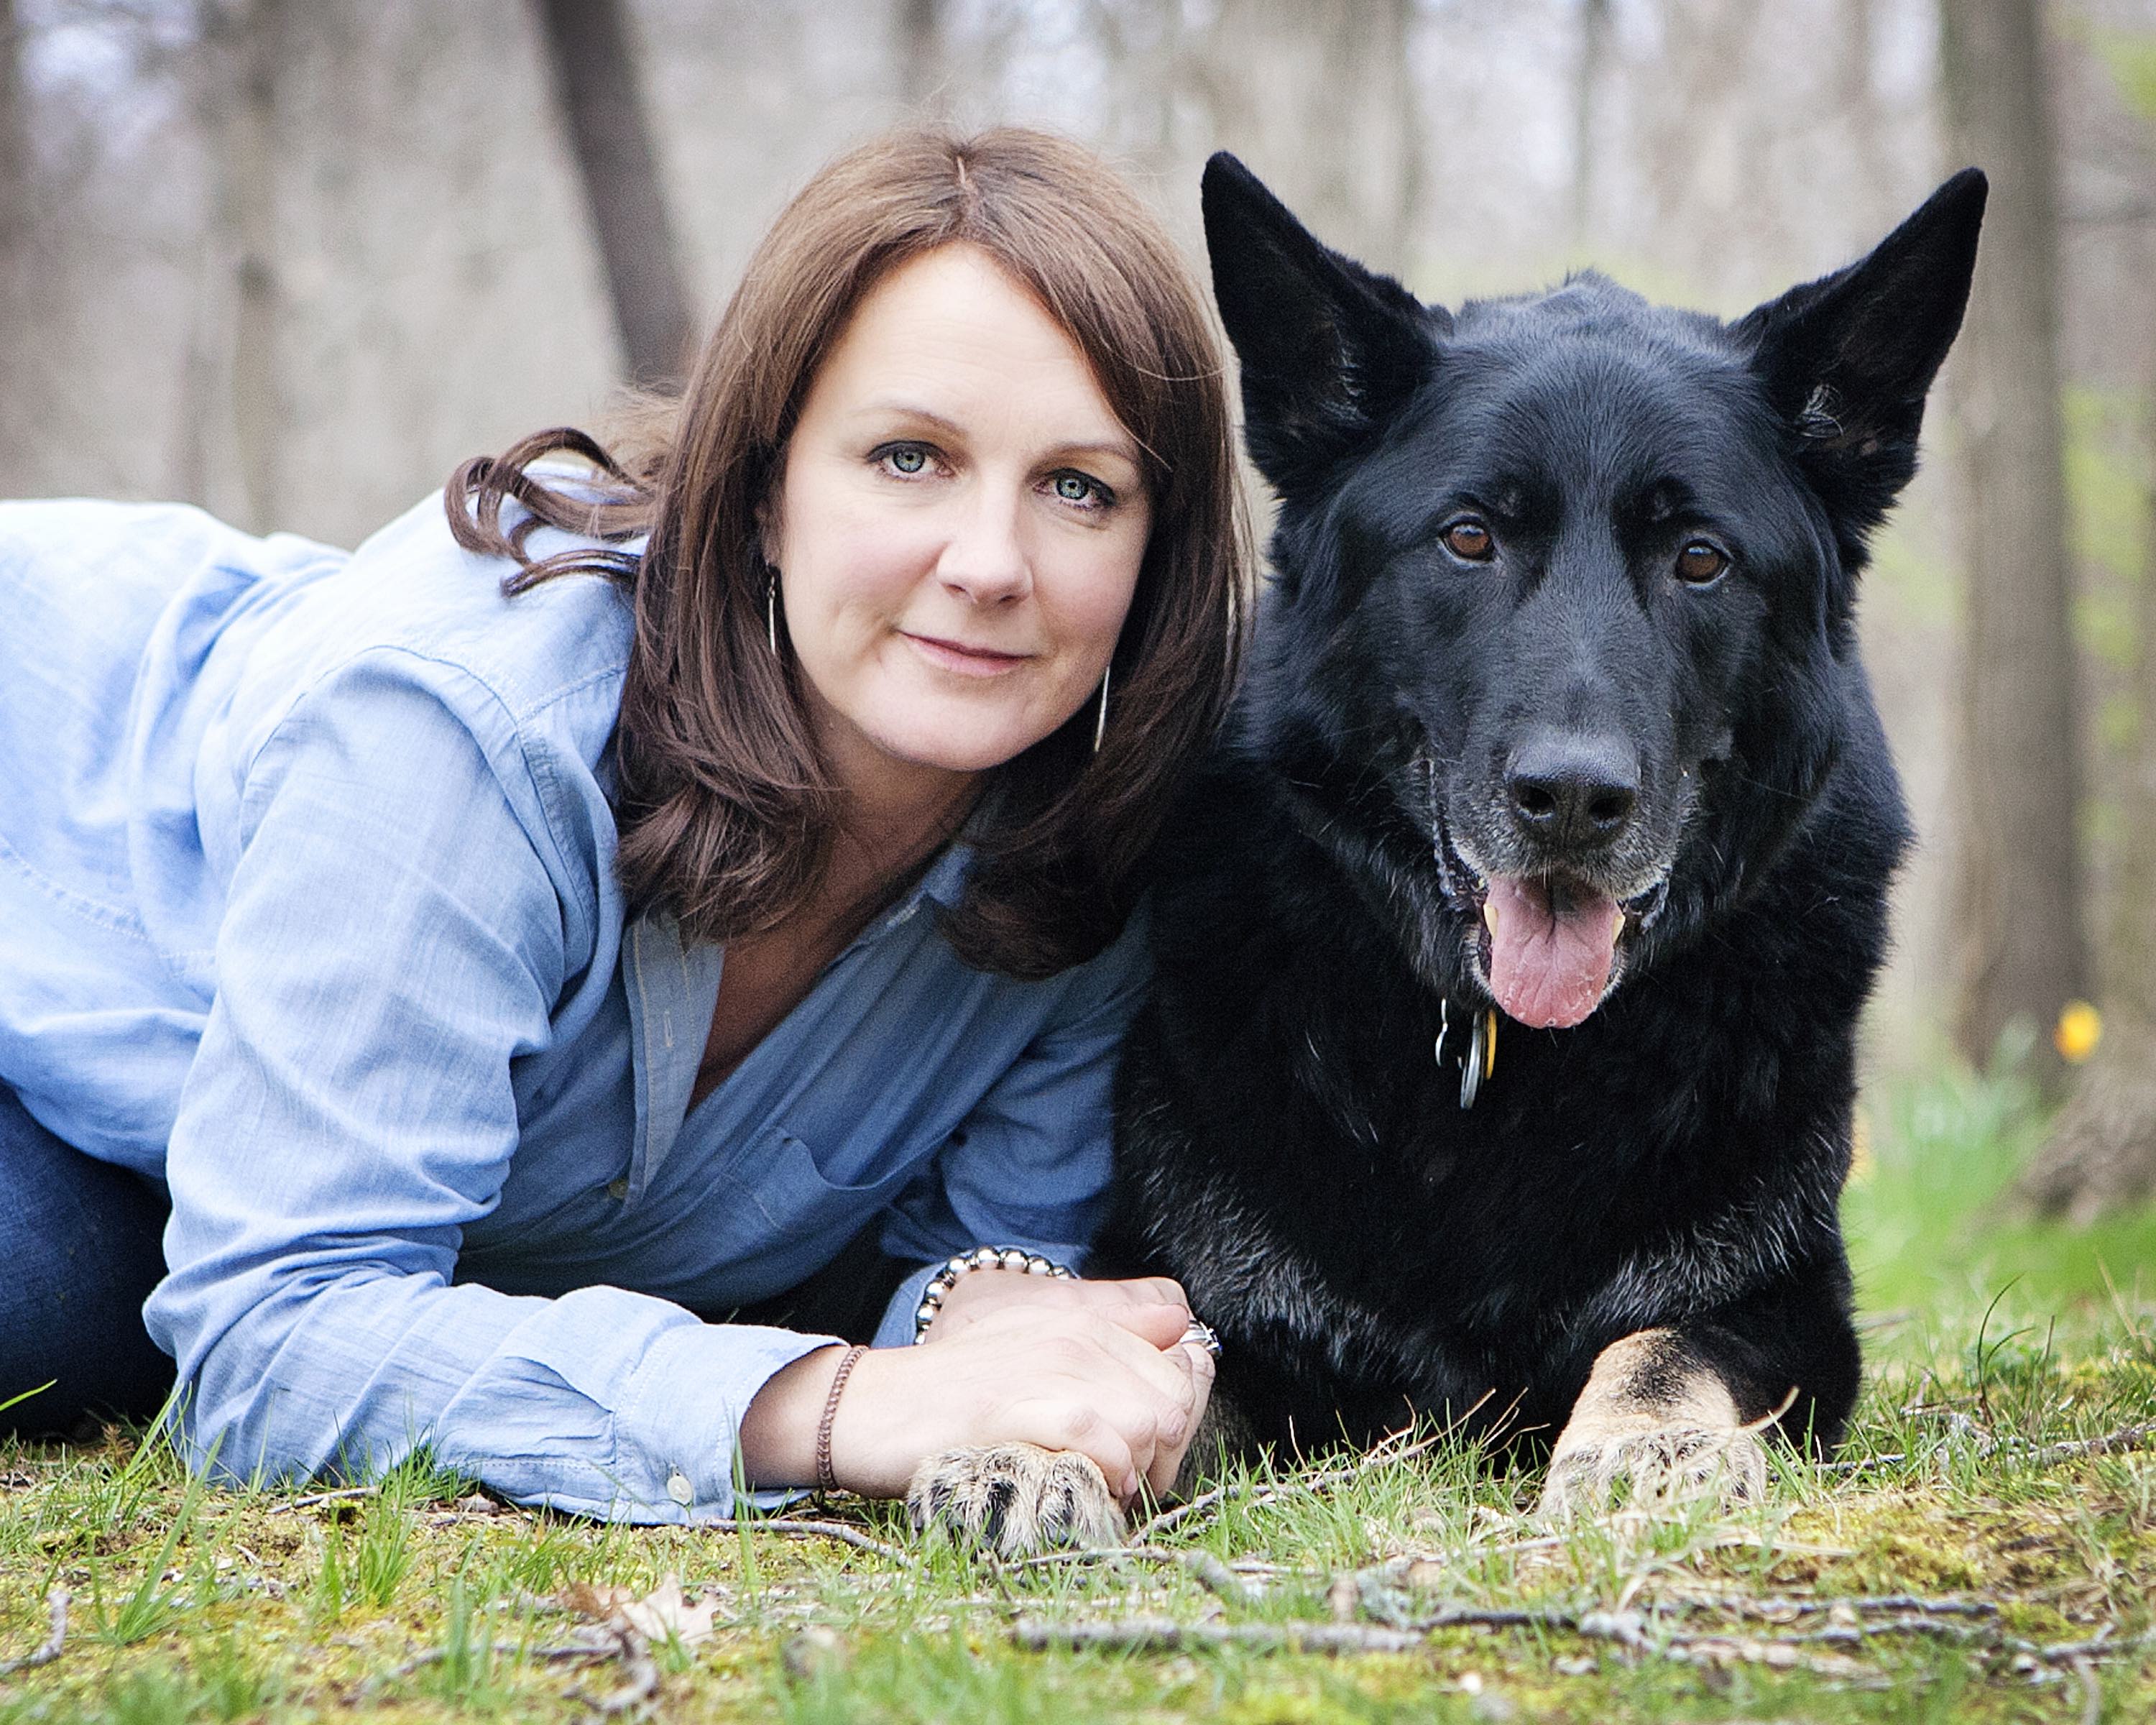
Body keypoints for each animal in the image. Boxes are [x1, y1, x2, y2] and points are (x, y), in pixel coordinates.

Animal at [910, 162, 1984, 1552]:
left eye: (1701, 559)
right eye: (1470, 538)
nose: (1571, 798)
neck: (1498, 1062)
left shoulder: (1784, 1304)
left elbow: (1665, 1348)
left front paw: (1654, 1448)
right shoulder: (1209, 1292)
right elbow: (1145, 1367)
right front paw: (1036, 1443)